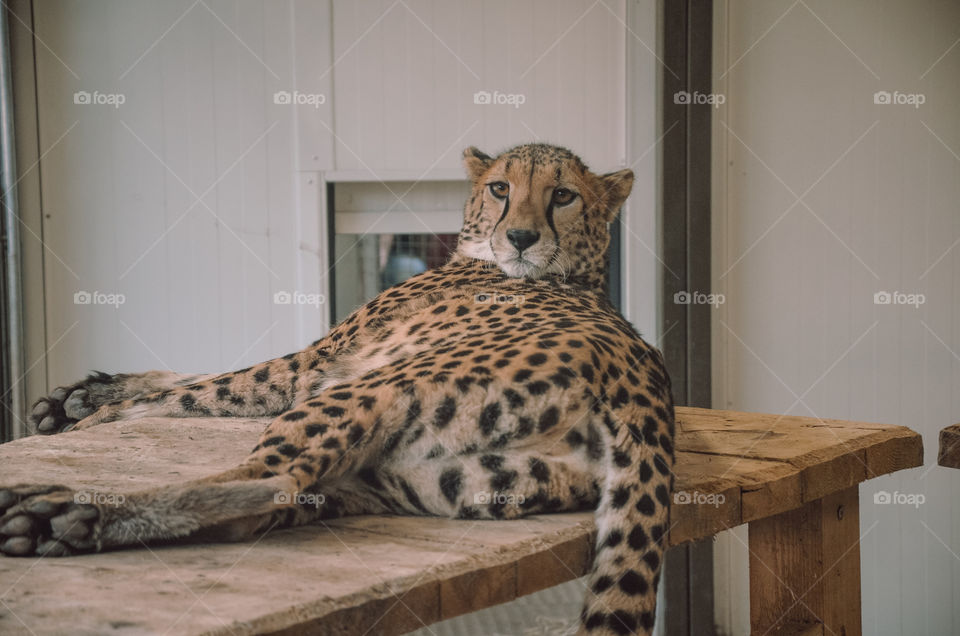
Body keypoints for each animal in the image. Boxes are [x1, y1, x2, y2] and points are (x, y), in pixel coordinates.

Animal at [0, 143, 675, 636]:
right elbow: (192, 376)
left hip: (365, 398)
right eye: (501, 188)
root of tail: (645, 379)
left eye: (563, 195)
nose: (522, 238)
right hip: (431, 477)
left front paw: (93, 416)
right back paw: (64, 525)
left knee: (271, 482)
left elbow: (196, 390)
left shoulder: (313, 369)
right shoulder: (315, 368)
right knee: (275, 506)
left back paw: (66, 511)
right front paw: (79, 396)